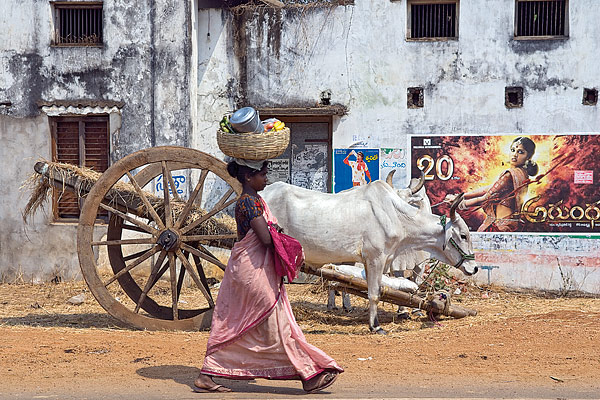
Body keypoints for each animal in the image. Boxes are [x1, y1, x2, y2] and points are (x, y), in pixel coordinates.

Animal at [262, 175, 478, 334]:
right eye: (463, 235)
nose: (474, 267)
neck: (397, 216)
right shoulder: (376, 258)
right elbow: (374, 294)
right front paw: (375, 326)